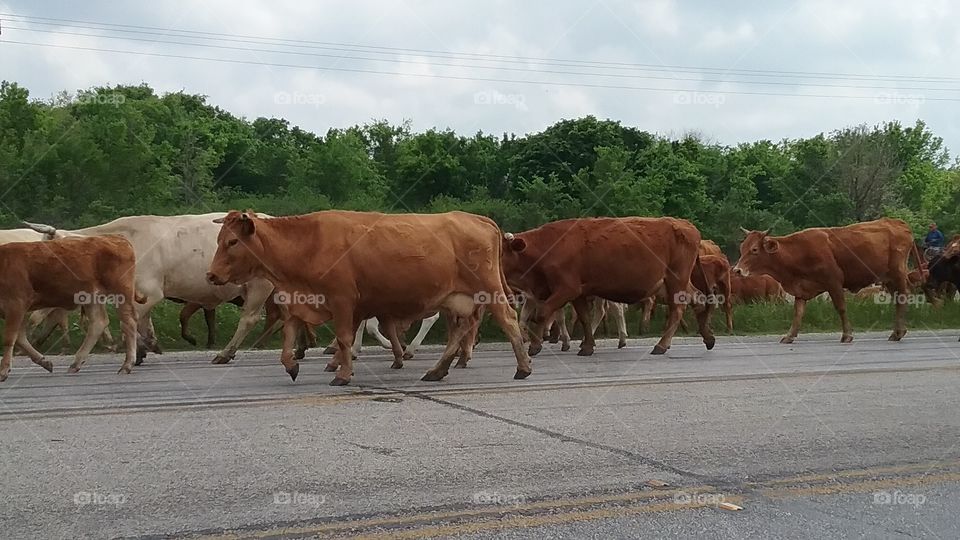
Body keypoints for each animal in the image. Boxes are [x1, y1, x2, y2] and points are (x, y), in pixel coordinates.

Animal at [0, 236, 140, 381]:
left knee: (129, 321)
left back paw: (127, 365)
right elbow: (20, 338)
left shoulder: (16, 304)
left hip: (121, 293)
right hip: (92, 297)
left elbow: (10, 338)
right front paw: (44, 362)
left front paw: (3, 370)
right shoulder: (16, 310)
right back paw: (76, 363)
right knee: (99, 322)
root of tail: (116, 237)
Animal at [23, 214, 275, 365]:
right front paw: (147, 347)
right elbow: (143, 323)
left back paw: (225, 353)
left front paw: (137, 352)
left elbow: (131, 322)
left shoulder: (149, 291)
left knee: (248, 319)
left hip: (258, 286)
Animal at [206, 210, 532, 386]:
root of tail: (478, 219)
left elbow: (344, 339)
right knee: (461, 330)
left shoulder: (342, 301)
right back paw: (437, 370)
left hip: (488, 292)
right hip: (459, 299)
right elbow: (289, 338)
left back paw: (523, 366)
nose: (210, 275)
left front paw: (343, 372)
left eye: (232, 242)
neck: (309, 242)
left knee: (508, 321)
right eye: (219, 240)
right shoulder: (302, 301)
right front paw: (292, 365)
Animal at [502, 217, 715, 356]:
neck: (546, 246)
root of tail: (685, 225)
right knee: (699, 299)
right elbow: (584, 318)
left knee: (678, 308)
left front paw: (535, 346)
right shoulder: (578, 292)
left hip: (676, 280)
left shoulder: (566, 289)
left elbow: (543, 313)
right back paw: (708, 337)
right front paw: (587, 346)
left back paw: (662, 345)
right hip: (678, 282)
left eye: (500, 252)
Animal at [732, 218, 924, 343]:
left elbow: (841, 308)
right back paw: (897, 332)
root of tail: (897, 222)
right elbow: (798, 313)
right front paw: (789, 336)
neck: (798, 252)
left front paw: (847, 335)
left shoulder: (834, 282)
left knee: (902, 298)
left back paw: (898, 333)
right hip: (888, 279)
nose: (737, 270)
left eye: (754, 249)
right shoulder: (801, 289)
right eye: (742, 248)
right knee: (898, 299)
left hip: (897, 274)